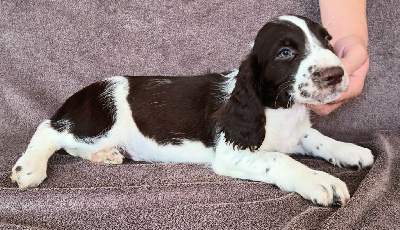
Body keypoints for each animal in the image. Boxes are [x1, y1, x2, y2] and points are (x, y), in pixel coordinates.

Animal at [10, 14, 374, 207]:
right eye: (286, 52)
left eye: (327, 41)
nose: (336, 74)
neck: (278, 108)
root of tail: (81, 94)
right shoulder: (233, 153)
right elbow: (280, 160)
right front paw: (319, 181)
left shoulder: (296, 133)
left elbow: (316, 138)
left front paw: (349, 150)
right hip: (99, 120)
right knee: (49, 129)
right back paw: (29, 168)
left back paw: (106, 157)